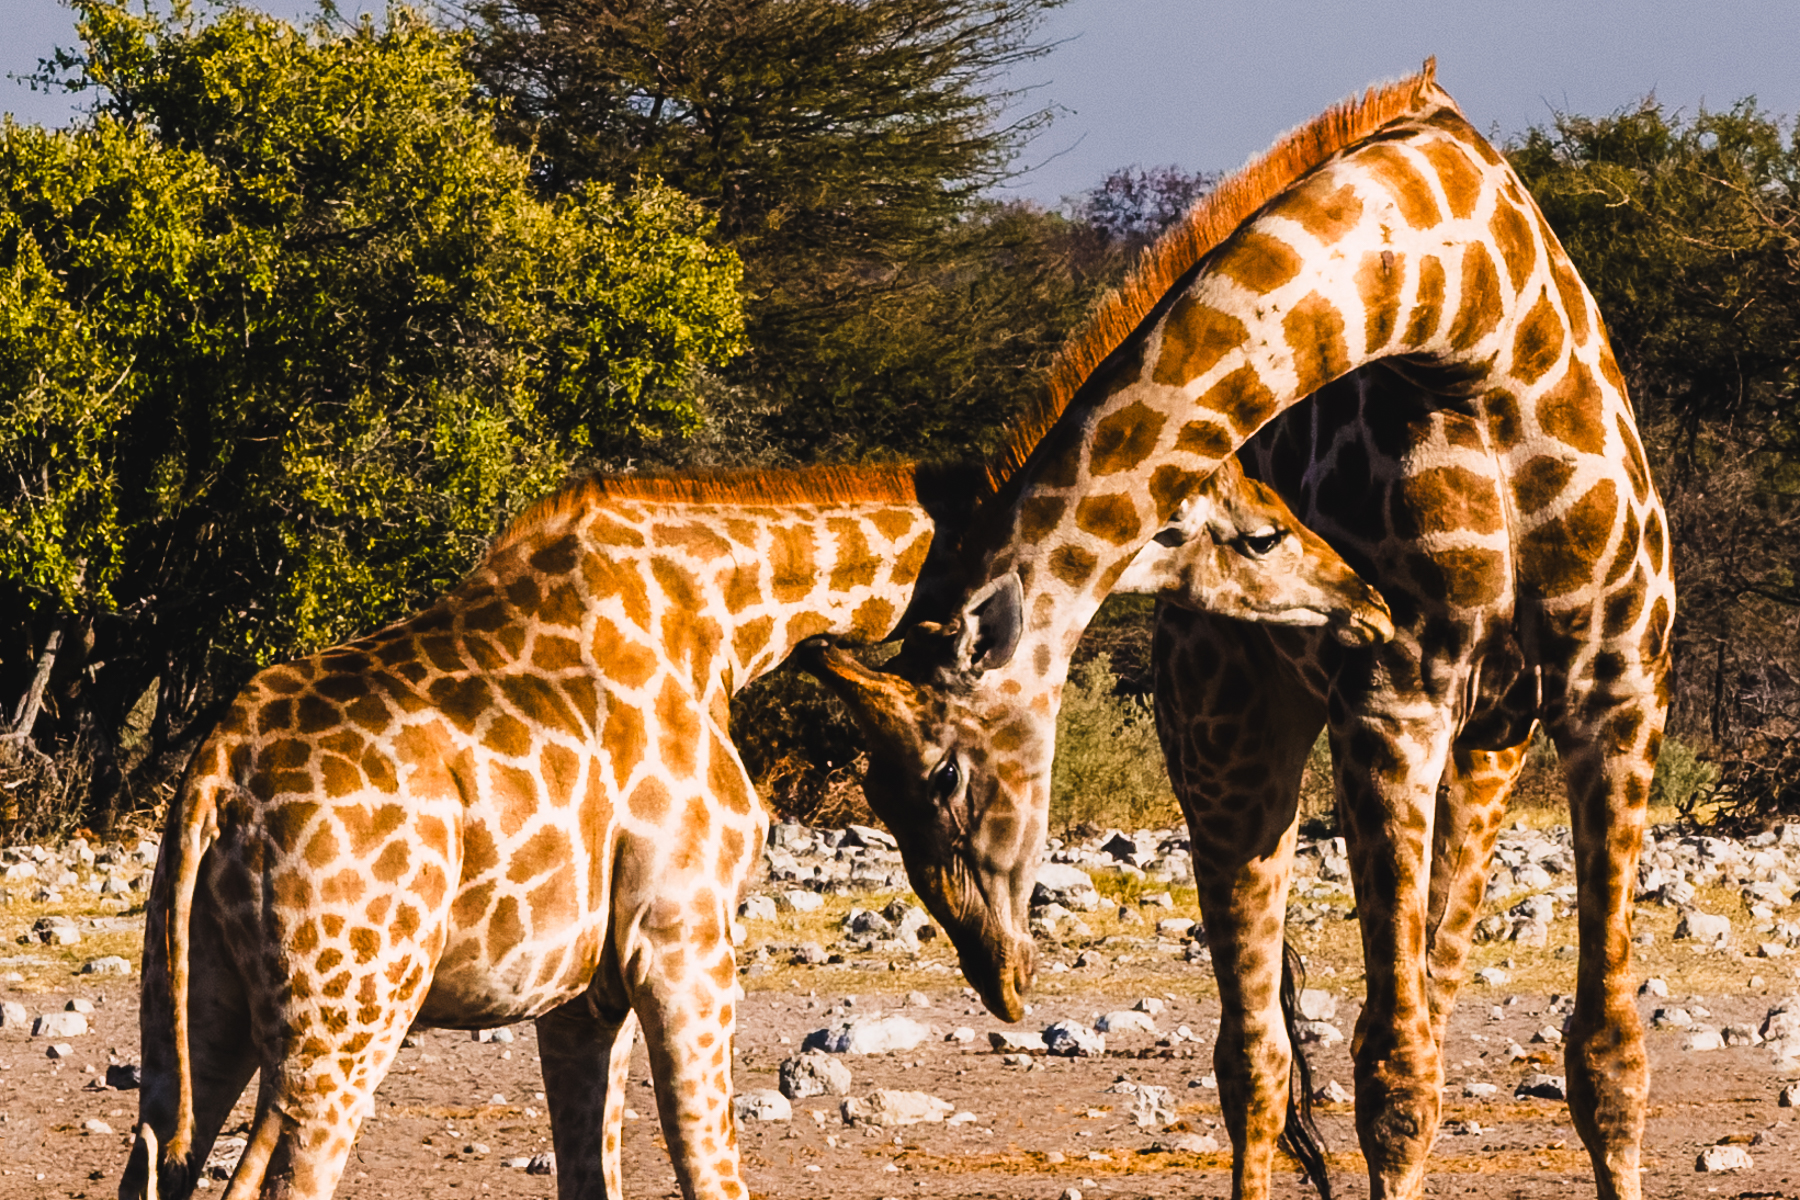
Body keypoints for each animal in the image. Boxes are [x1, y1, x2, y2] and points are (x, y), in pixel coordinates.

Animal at [120, 452, 1390, 1200]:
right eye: (1264, 534)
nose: (1369, 602)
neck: (722, 619)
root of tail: (216, 777)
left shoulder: (579, 989)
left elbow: (597, 1175)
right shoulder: (684, 938)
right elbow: (709, 1170)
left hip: (213, 1002)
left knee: (165, 1162)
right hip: (351, 1007)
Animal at [799, 62, 1673, 1200]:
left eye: (941, 777)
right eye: (879, 798)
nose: (996, 976)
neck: (1474, 321)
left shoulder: (1617, 690)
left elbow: (1604, 1056)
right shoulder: (1393, 698)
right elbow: (1391, 1074)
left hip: (1488, 746)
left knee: (1411, 1002)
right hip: (1227, 742)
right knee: (1255, 1055)